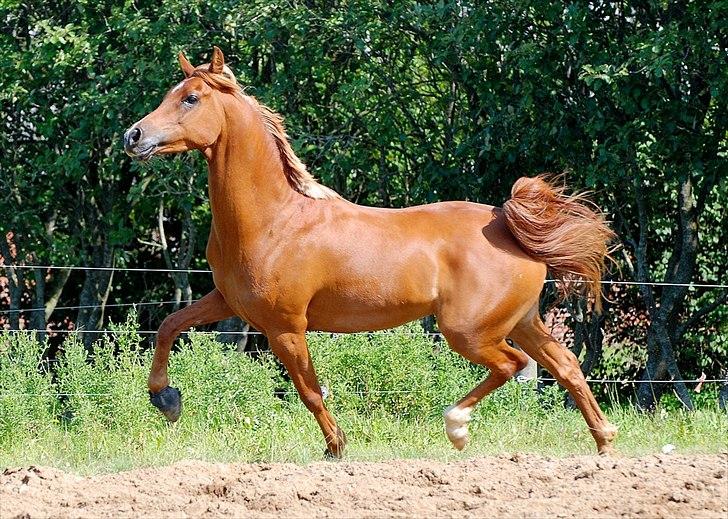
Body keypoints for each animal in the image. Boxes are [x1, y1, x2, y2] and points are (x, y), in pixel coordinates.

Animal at [123, 46, 616, 458]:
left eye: (190, 98)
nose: (133, 136)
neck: (274, 220)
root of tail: (506, 225)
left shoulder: (284, 327)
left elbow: (309, 390)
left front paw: (336, 448)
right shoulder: (229, 301)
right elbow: (169, 325)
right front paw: (165, 399)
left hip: (469, 331)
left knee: (514, 364)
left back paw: (457, 426)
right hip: (522, 320)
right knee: (566, 365)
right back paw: (605, 444)